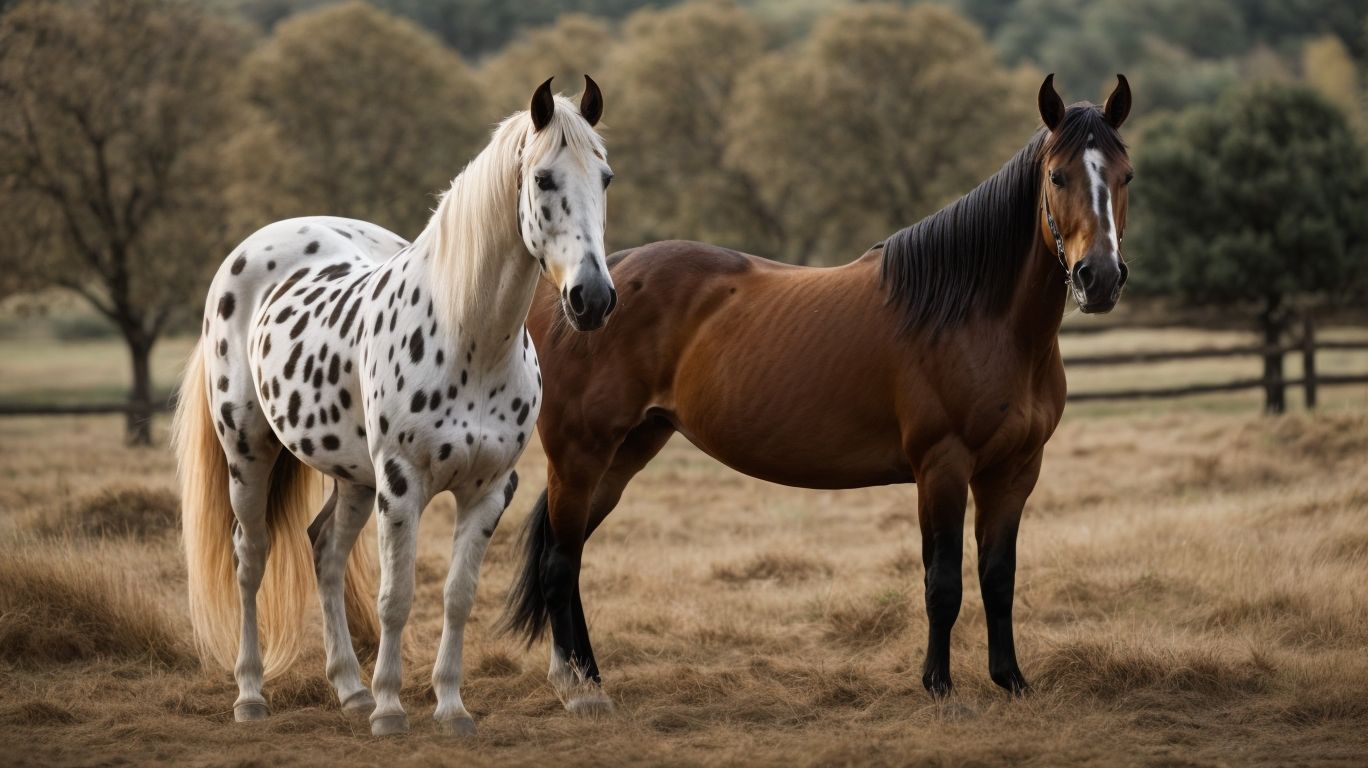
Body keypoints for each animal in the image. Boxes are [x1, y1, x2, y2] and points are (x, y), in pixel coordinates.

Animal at [174, 77, 616, 737]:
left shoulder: (489, 490)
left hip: (356, 478)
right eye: (543, 179)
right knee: (249, 560)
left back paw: (349, 689)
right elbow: (396, 598)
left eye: (605, 177)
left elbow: (457, 597)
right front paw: (390, 709)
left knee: (325, 551)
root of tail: (258, 246)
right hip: (249, 454)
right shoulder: (403, 485)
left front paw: (451, 707)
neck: (471, 338)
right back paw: (251, 696)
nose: (593, 298)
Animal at [502, 74, 1133, 711]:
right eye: (1057, 176)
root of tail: (581, 293)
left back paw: (588, 675)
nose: (1099, 278)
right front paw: (939, 686)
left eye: (1126, 175)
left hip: (626, 451)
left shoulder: (1015, 470)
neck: (977, 316)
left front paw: (1011, 680)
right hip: (580, 454)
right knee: (559, 562)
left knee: (571, 556)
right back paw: (577, 688)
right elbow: (943, 583)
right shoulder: (943, 467)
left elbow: (999, 578)